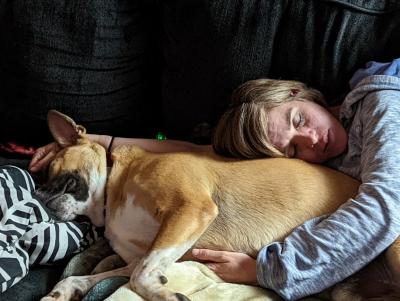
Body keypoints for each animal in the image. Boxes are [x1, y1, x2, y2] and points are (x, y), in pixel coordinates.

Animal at [38, 110, 400, 300]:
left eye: (54, 173)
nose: (39, 197)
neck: (115, 183)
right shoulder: (158, 250)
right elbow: (99, 276)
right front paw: (62, 291)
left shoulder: (190, 210)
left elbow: (139, 276)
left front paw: (165, 296)